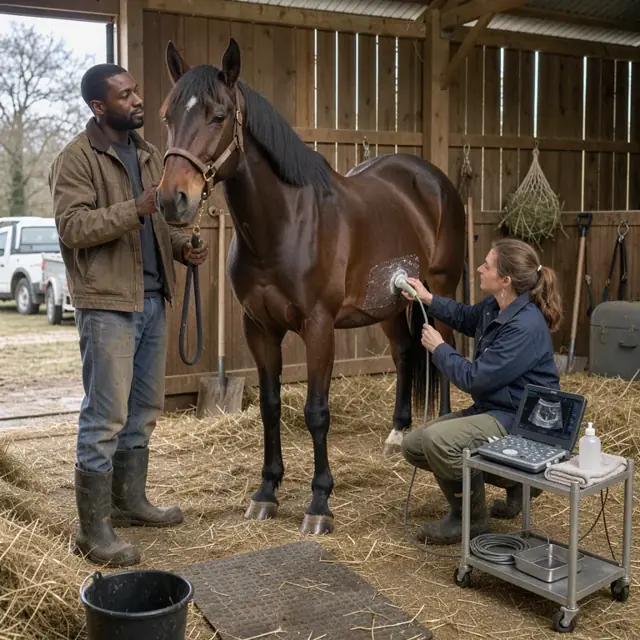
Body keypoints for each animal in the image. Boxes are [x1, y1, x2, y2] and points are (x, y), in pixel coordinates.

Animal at [156, 38, 466, 535]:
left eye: (218, 116)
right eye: (167, 116)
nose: (172, 200)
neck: (284, 225)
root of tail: (433, 180)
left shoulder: (318, 328)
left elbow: (316, 413)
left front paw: (319, 503)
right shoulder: (259, 329)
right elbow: (269, 406)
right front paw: (266, 492)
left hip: (438, 294)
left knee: (443, 353)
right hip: (391, 304)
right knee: (404, 353)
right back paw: (397, 434)